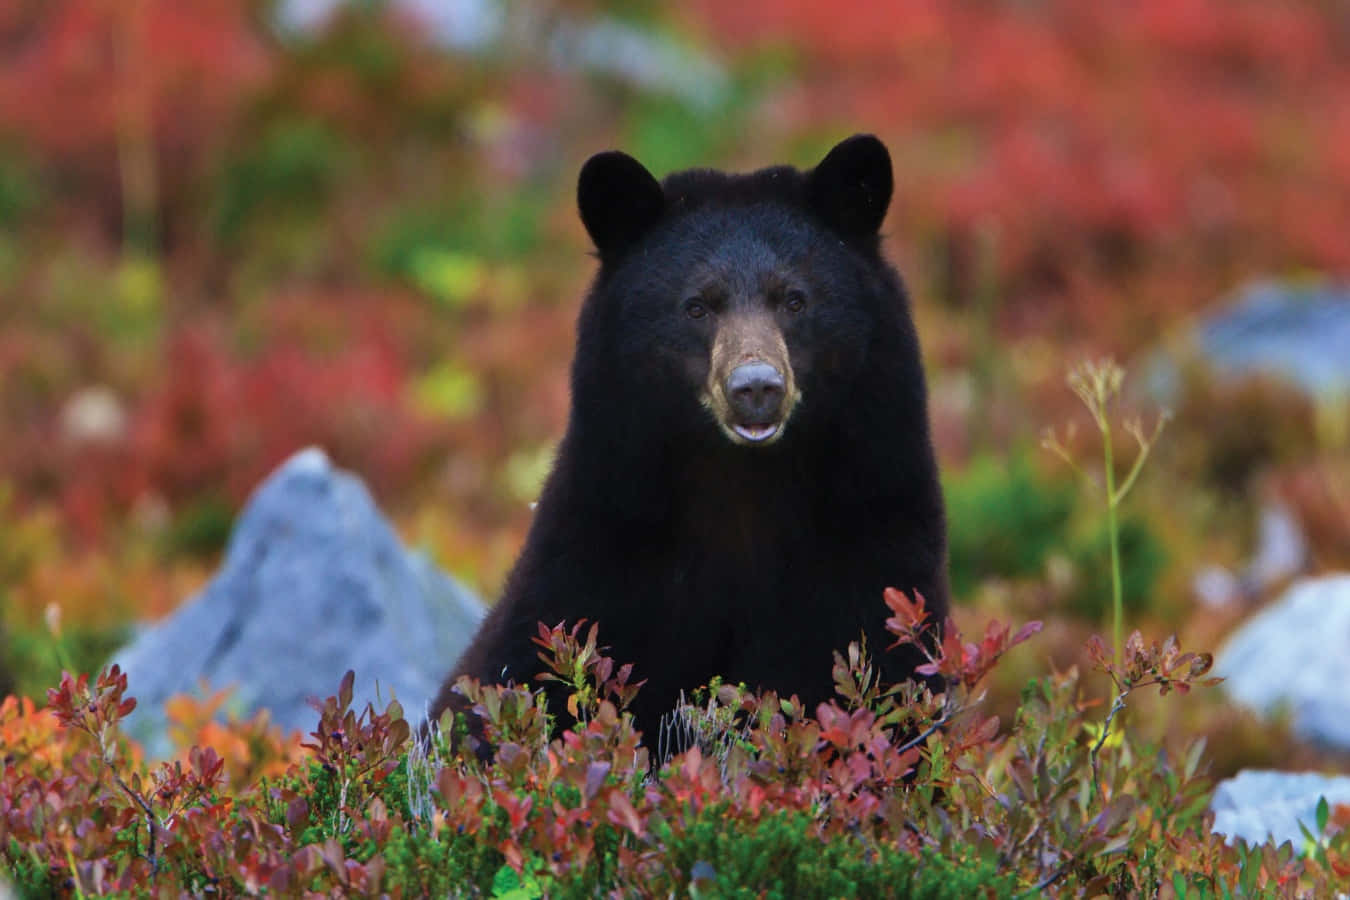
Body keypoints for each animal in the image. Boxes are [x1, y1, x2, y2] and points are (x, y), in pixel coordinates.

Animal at [429, 134, 949, 751]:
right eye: (697, 305)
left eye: (795, 300)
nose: (756, 388)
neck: (746, 488)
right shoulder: (601, 555)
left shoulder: (874, 544)